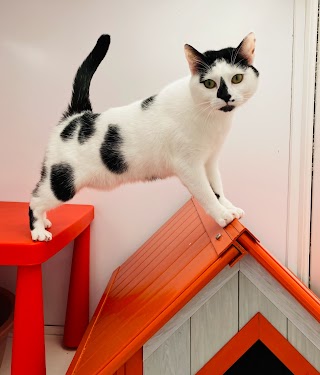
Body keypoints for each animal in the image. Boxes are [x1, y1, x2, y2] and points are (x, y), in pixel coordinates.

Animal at [28, 33, 258, 242]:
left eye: (237, 78)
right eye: (210, 83)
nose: (226, 96)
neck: (212, 119)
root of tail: (76, 117)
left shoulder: (209, 161)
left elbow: (217, 188)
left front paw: (229, 207)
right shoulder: (189, 166)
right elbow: (207, 193)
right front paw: (222, 216)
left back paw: (45, 221)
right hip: (63, 182)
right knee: (34, 200)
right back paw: (38, 230)